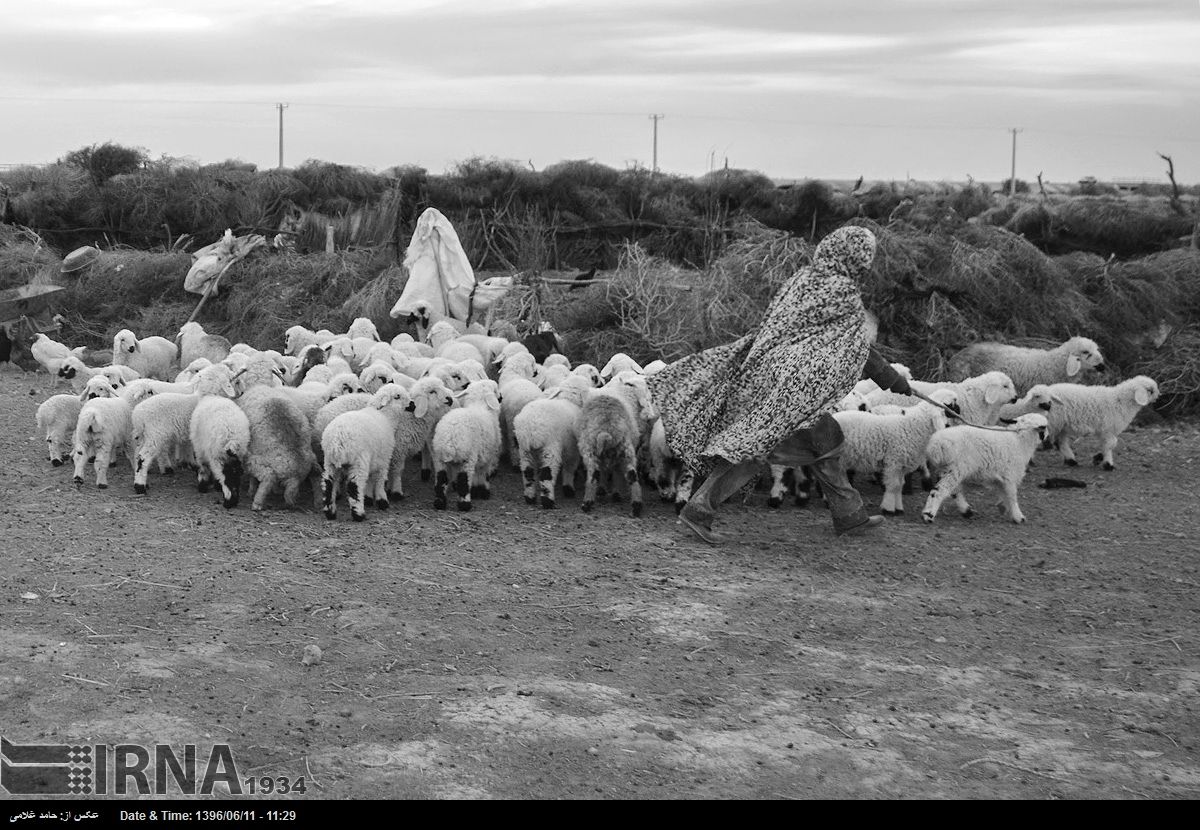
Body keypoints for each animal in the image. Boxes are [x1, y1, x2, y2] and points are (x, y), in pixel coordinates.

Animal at [432, 376, 501, 508]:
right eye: (495, 390)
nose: (501, 397)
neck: (479, 405)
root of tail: (450, 437)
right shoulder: (488, 455)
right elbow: (484, 474)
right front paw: (484, 492)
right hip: (467, 458)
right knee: (464, 480)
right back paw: (465, 504)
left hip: (439, 459)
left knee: (441, 479)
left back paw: (440, 503)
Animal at [513, 374, 592, 506]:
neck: (569, 399)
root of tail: (532, 428)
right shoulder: (572, 448)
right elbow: (570, 466)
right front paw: (568, 487)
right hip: (550, 448)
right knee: (547, 474)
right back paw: (548, 501)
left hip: (524, 450)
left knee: (527, 472)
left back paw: (530, 497)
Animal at [830, 388, 960, 513]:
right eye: (950, 404)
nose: (959, 411)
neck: (913, 426)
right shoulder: (893, 462)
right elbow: (893, 486)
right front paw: (888, 508)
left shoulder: (901, 466)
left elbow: (899, 486)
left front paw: (898, 508)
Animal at [916, 412, 1051, 522]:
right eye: (1044, 427)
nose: (1048, 436)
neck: (1019, 440)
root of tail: (936, 445)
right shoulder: (1010, 476)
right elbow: (1011, 496)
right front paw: (1018, 516)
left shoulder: (1002, 478)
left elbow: (1004, 494)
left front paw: (1003, 507)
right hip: (955, 469)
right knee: (939, 490)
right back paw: (928, 515)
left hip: (947, 469)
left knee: (954, 491)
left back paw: (966, 511)